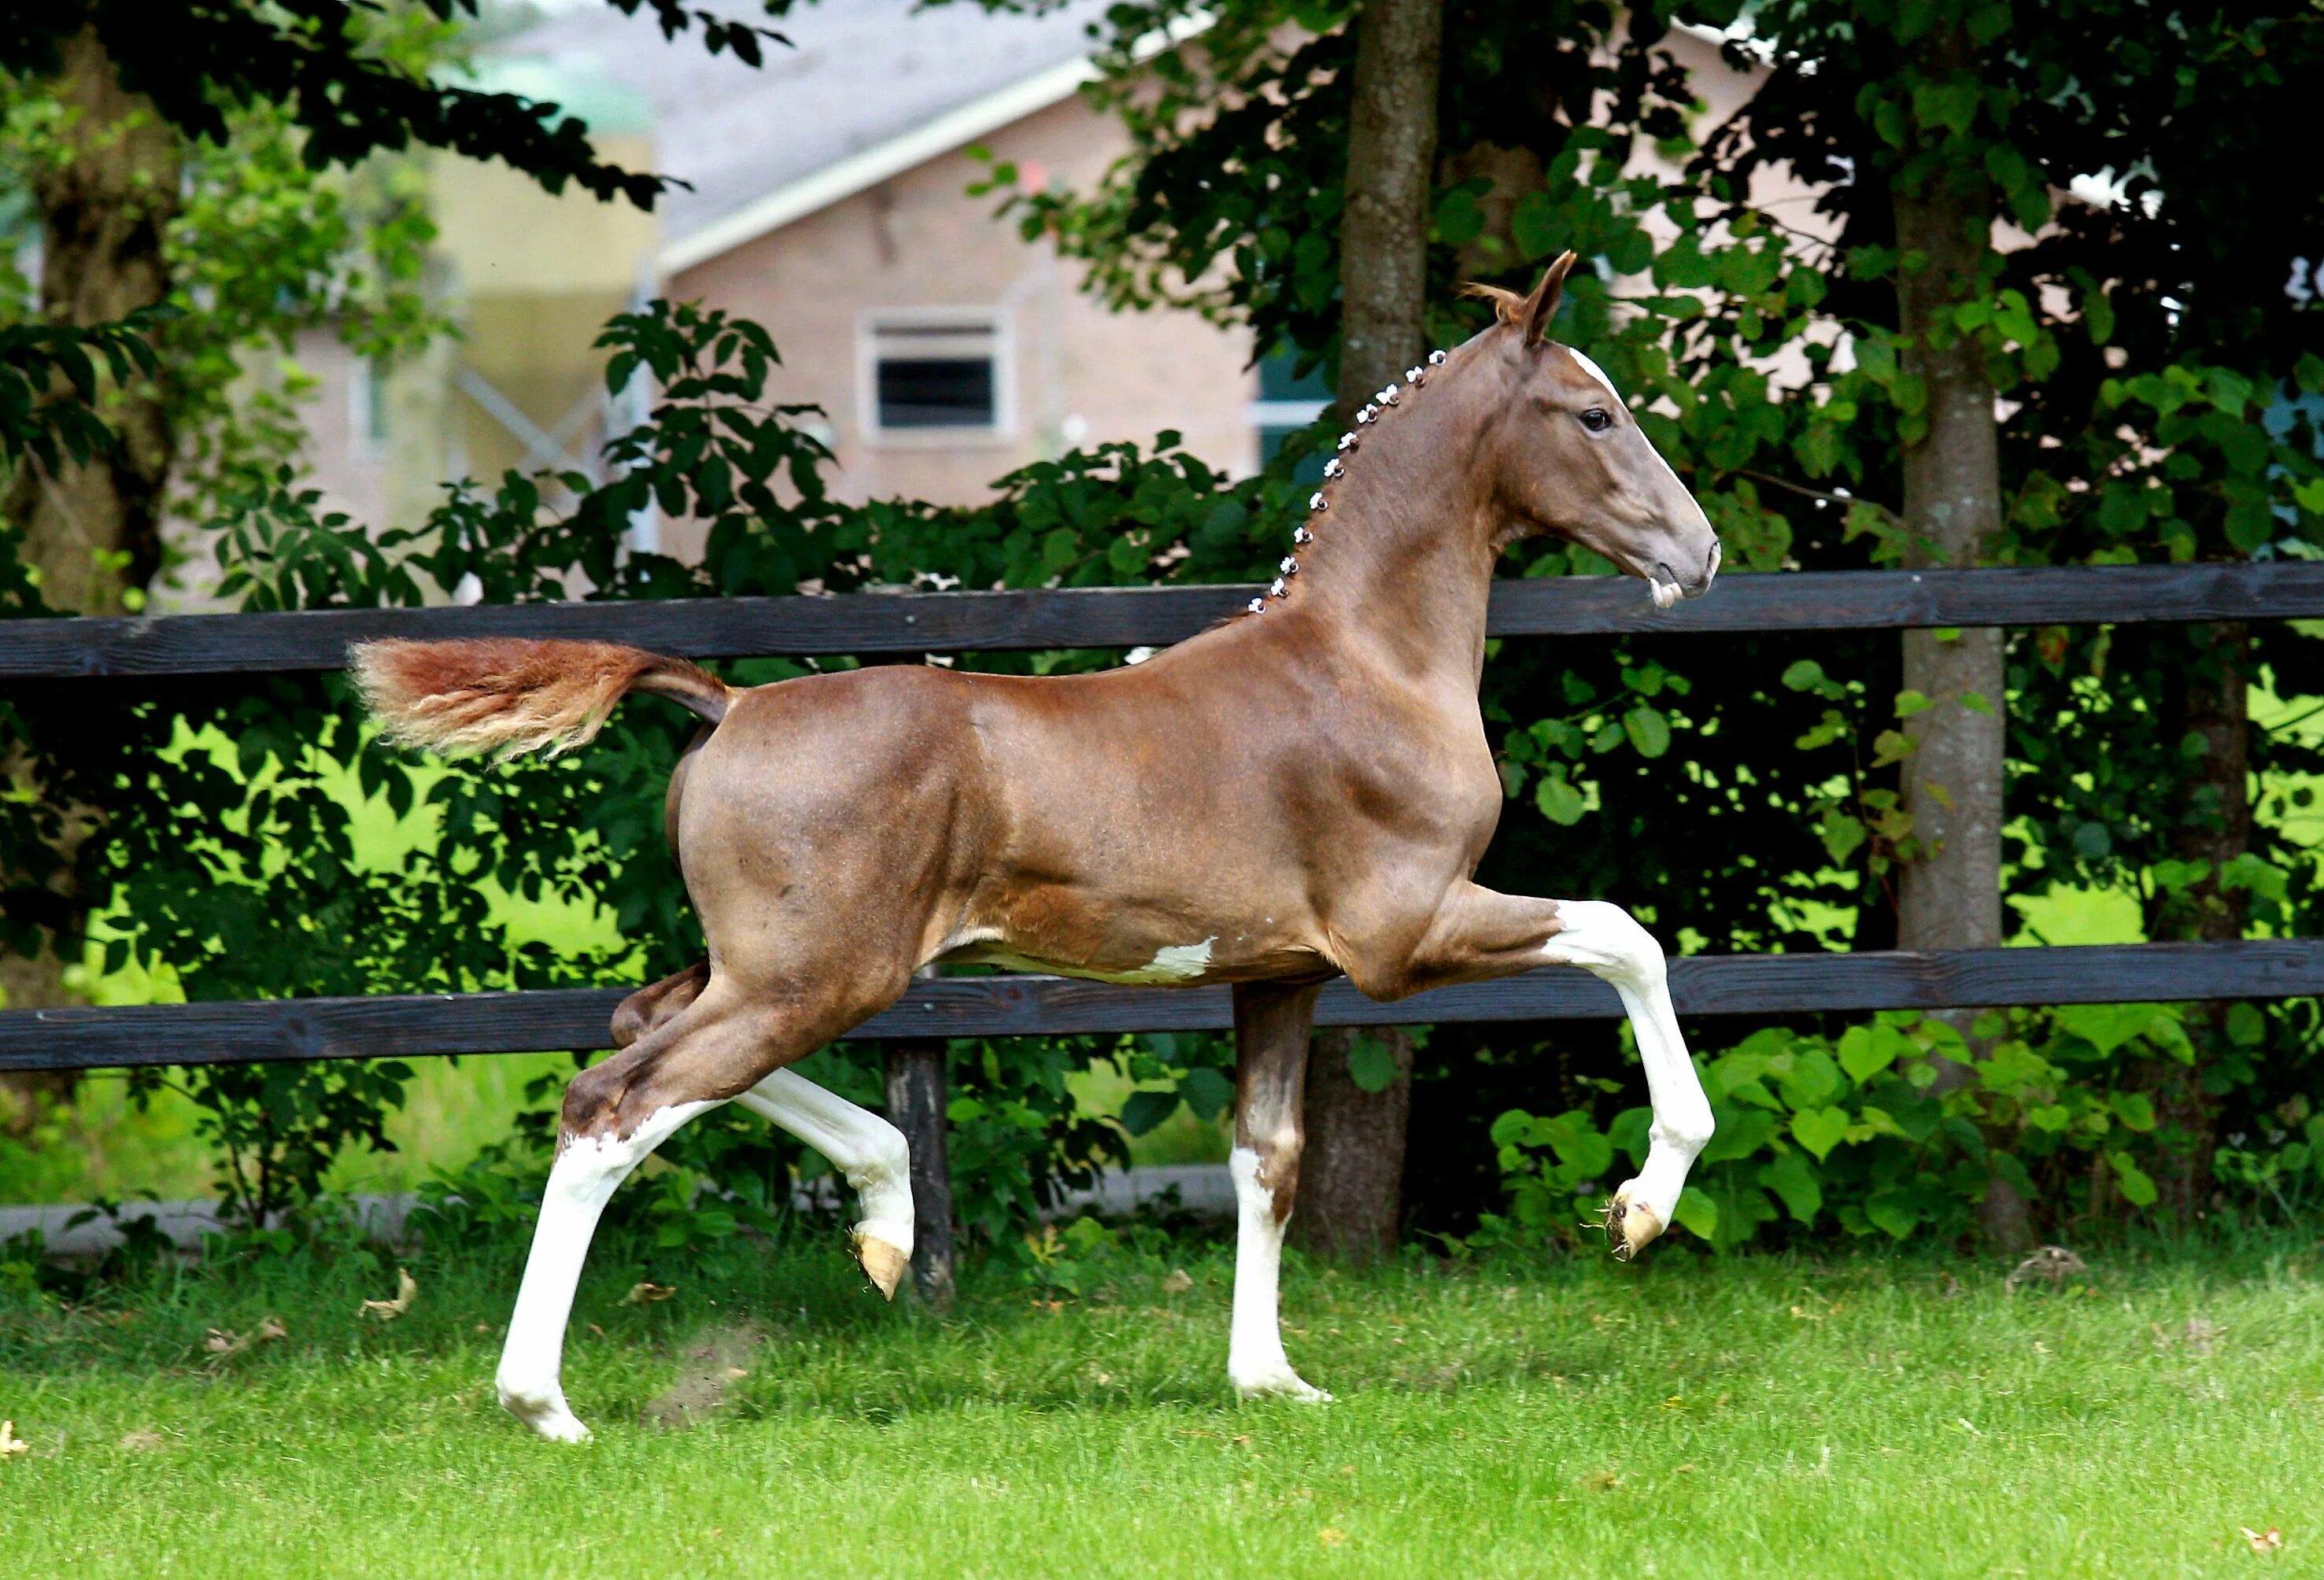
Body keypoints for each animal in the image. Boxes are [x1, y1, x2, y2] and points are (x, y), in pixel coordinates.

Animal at [348, 249, 1729, 1440]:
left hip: (777, 967)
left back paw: (886, 1214)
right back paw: (545, 1403)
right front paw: (1641, 1207)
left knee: (646, 1025)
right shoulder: (1404, 935)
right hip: (818, 977)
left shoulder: (1282, 974)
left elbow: (1264, 1159)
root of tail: (728, 703)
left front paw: (1268, 1379)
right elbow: (1627, 940)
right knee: (616, 1103)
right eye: (1594, 415)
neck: (1364, 665)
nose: (1701, 552)